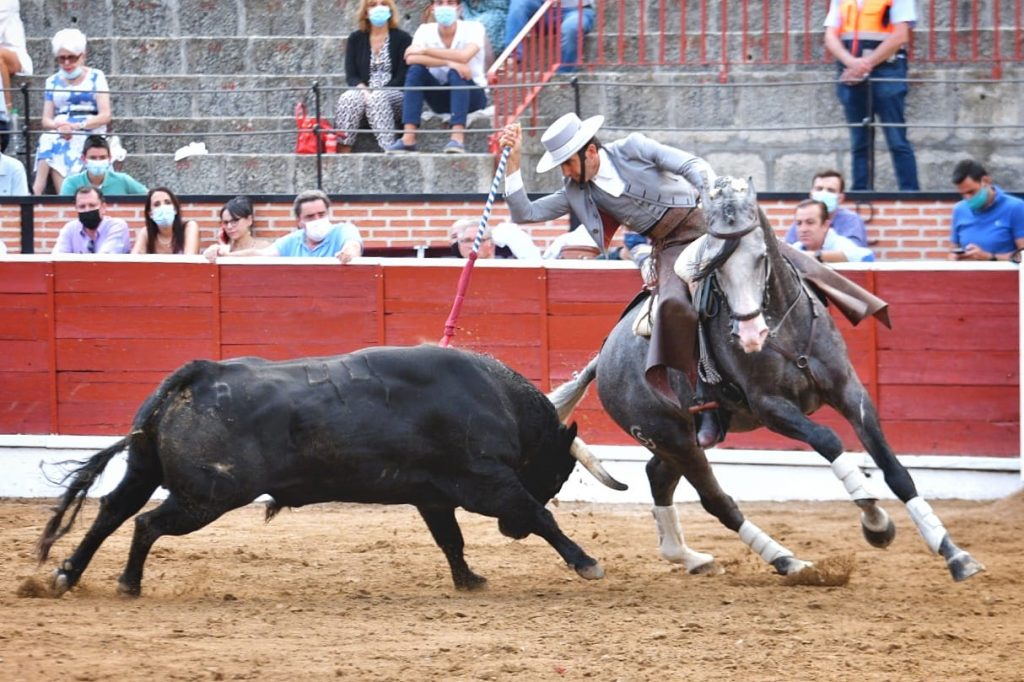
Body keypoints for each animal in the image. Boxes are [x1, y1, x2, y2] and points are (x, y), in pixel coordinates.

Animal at [37, 342, 606, 593]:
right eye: (559, 473)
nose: (509, 534)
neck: (498, 401)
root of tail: (197, 374)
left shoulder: (433, 496)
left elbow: (451, 540)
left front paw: (469, 580)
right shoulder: (488, 485)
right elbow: (541, 516)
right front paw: (586, 563)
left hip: (145, 470)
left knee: (112, 511)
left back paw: (67, 573)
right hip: (207, 496)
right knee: (145, 523)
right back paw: (128, 583)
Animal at [552, 176, 983, 577]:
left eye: (761, 257)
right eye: (715, 267)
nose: (750, 334)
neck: (784, 329)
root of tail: (603, 358)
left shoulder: (849, 388)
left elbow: (895, 469)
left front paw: (953, 552)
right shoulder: (771, 407)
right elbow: (828, 440)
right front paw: (875, 522)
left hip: (680, 436)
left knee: (658, 474)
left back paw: (690, 557)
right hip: (674, 438)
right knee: (716, 500)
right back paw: (786, 560)